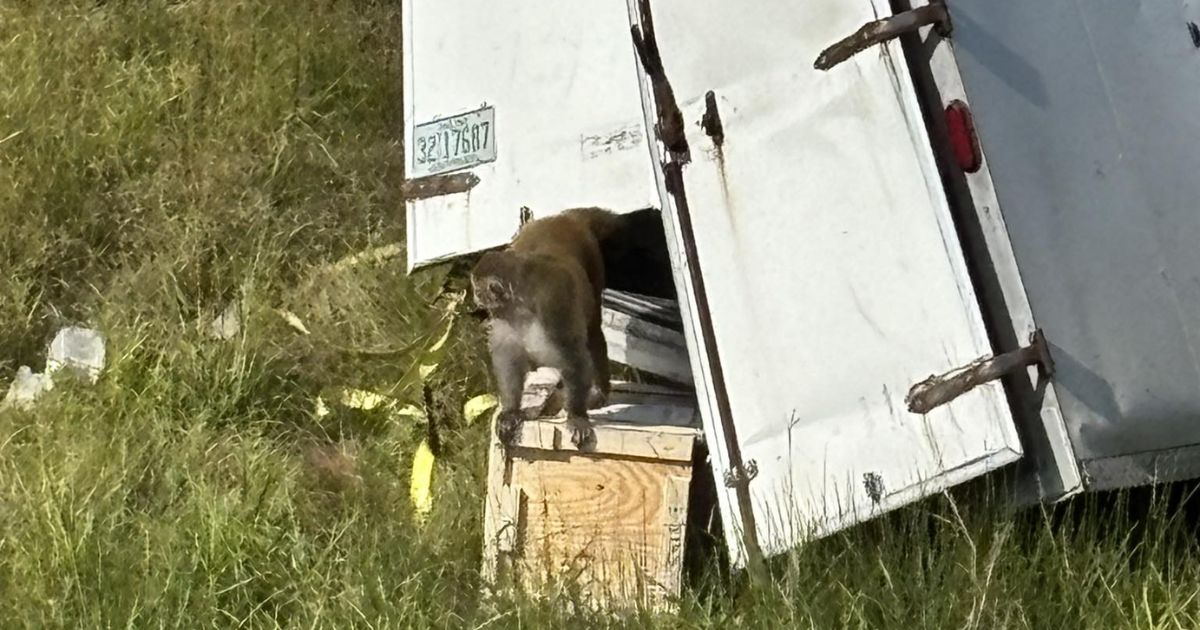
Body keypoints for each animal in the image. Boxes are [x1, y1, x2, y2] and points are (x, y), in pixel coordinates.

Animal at [471, 207, 628, 449]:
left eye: (478, 290)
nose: (474, 298)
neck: (521, 305)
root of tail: (564, 217)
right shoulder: (504, 318)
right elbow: (509, 359)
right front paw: (511, 411)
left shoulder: (552, 305)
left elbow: (573, 356)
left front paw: (577, 416)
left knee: (592, 331)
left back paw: (599, 391)